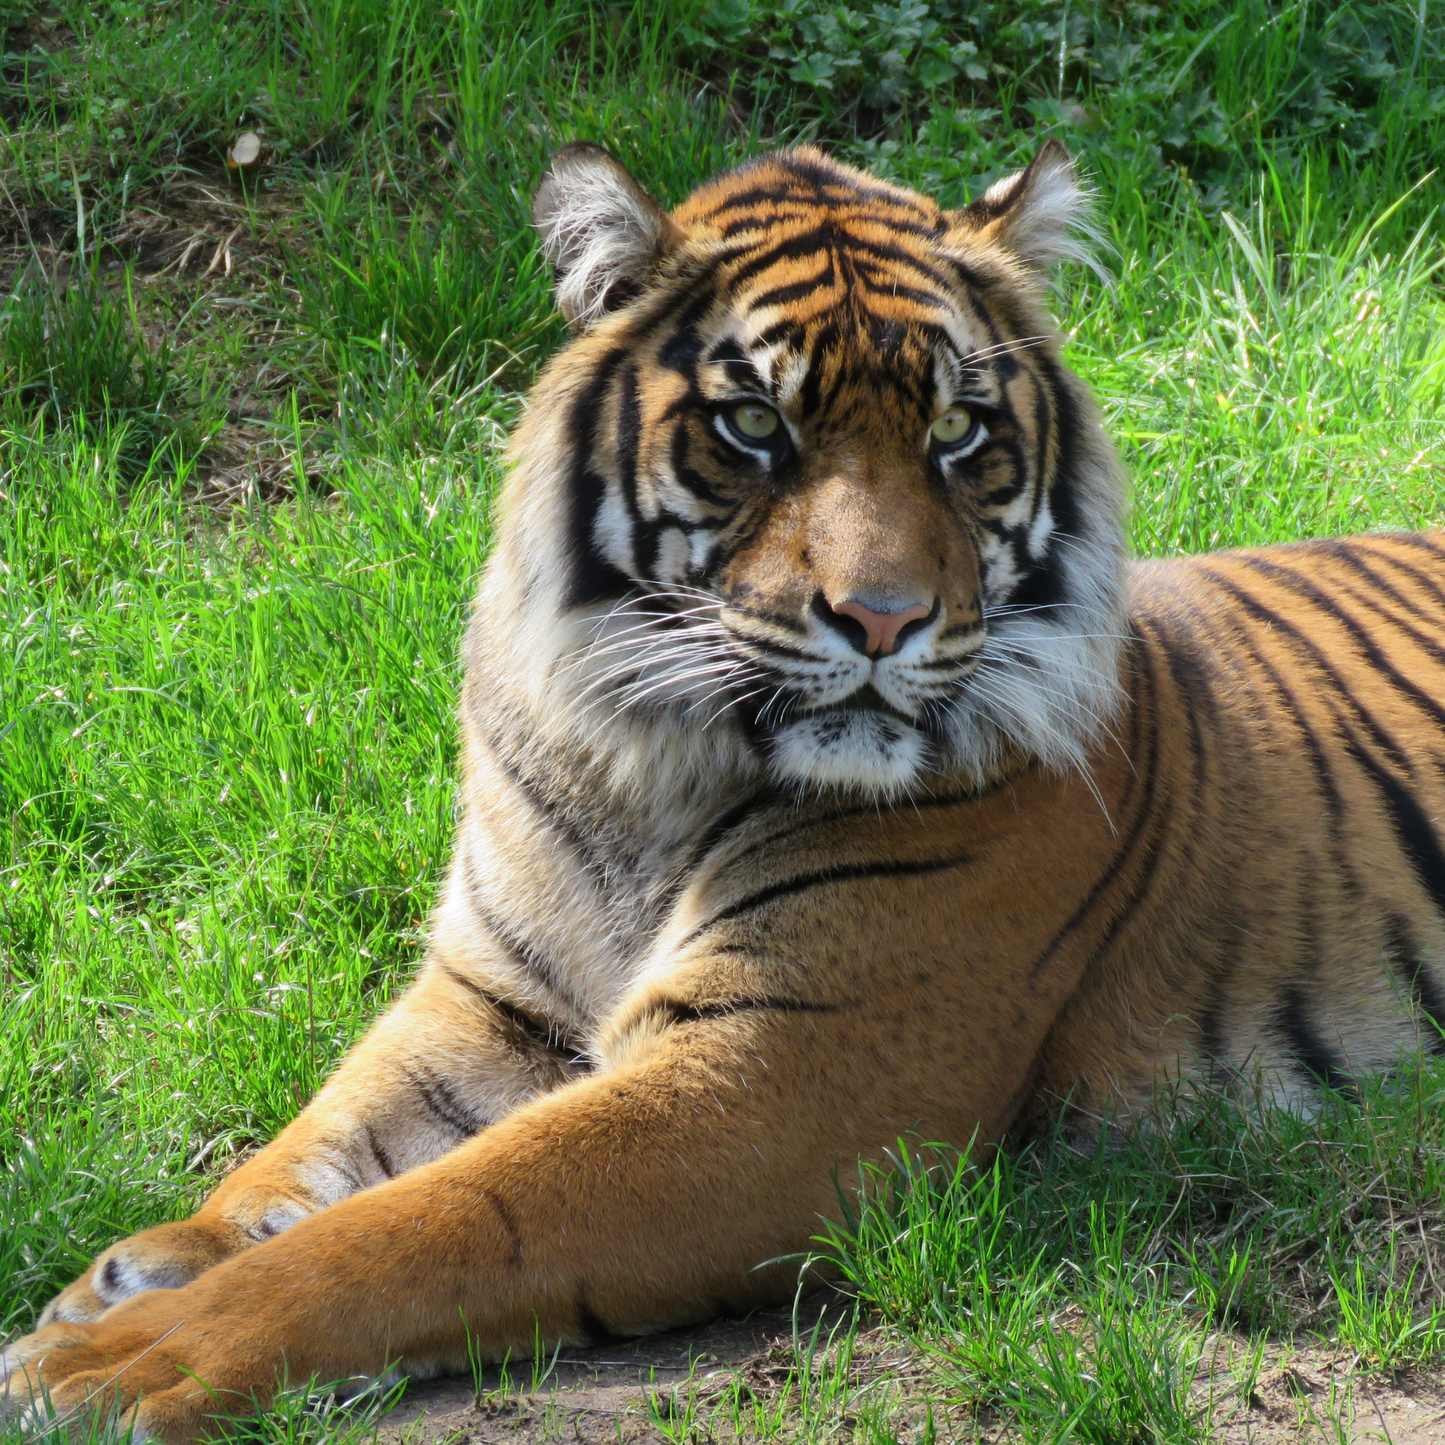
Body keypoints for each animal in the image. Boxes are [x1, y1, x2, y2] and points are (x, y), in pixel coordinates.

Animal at [8, 137, 1445, 1445]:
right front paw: (140, 1263)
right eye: (754, 425)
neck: (645, 766)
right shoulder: (489, 997)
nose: (883, 619)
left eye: (957, 432)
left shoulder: (787, 1069)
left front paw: (116, 1359)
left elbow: (435, 1213)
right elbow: (314, 1146)